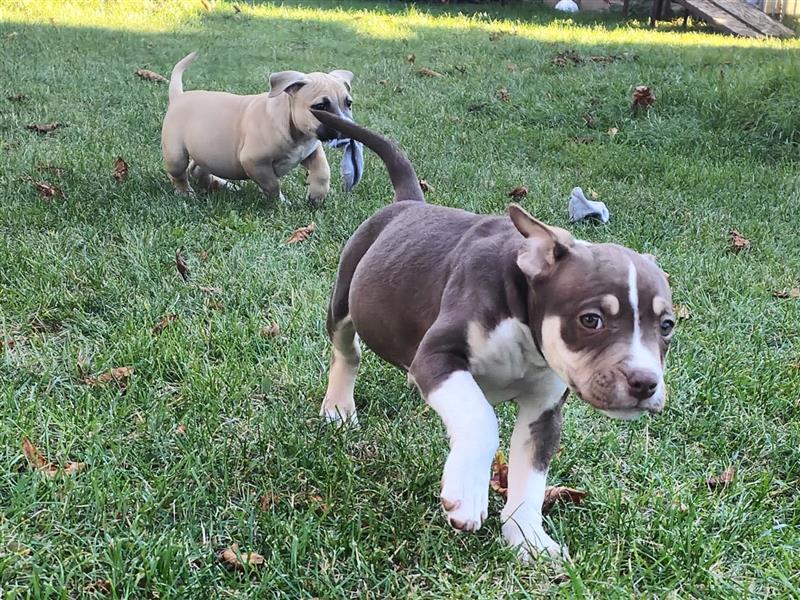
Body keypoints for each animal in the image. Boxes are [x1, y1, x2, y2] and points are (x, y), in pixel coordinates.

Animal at [159, 52, 354, 202]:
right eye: (320, 106)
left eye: (348, 103)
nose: (348, 127)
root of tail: (178, 96)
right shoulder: (254, 161)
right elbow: (272, 184)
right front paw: (279, 202)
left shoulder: (311, 151)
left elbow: (322, 171)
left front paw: (317, 196)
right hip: (176, 155)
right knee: (180, 174)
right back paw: (185, 192)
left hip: (206, 151)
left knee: (197, 169)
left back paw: (221, 184)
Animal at [312, 110, 676, 560]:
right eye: (590, 320)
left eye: (666, 326)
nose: (645, 383)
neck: (523, 323)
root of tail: (410, 203)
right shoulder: (438, 356)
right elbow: (481, 416)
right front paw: (468, 496)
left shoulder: (544, 410)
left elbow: (531, 476)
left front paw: (529, 537)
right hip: (345, 296)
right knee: (347, 351)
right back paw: (338, 408)